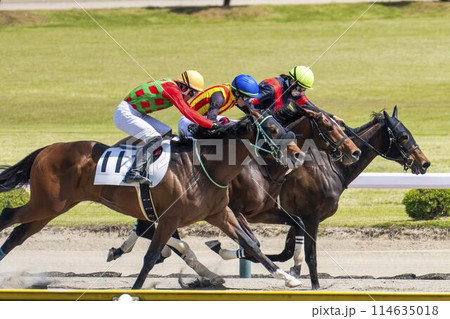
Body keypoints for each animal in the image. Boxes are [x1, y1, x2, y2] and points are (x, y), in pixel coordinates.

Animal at [0, 110, 304, 290]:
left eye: (281, 125)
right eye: (273, 130)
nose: (298, 154)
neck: (203, 166)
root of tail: (47, 149)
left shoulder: (220, 214)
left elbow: (251, 244)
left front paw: (287, 277)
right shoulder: (169, 218)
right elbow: (149, 257)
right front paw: (135, 291)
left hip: (51, 208)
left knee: (18, 235)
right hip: (47, 203)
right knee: (7, 216)